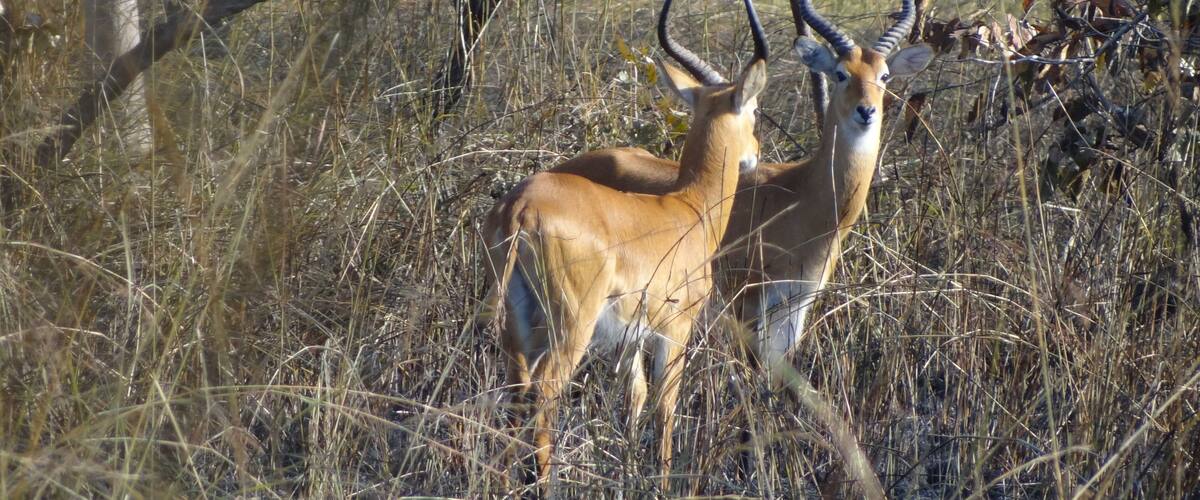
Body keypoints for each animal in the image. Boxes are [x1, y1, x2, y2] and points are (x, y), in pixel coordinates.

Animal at [481, 0, 769, 491]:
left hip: (517, 325)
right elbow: (665, 408)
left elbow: (632, 402)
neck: (688, 208)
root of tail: (520, 208)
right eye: (752, 110)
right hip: (571, 326)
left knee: (516, 393)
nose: (756, 152)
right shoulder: (674, 332)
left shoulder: (628, 340)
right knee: (544, 393)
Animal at [550, 0, 934, 378]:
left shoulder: (795, 307)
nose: (866, 112)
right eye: (841, 73)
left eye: (884, 76)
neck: (803, 196)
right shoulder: (746, 304)